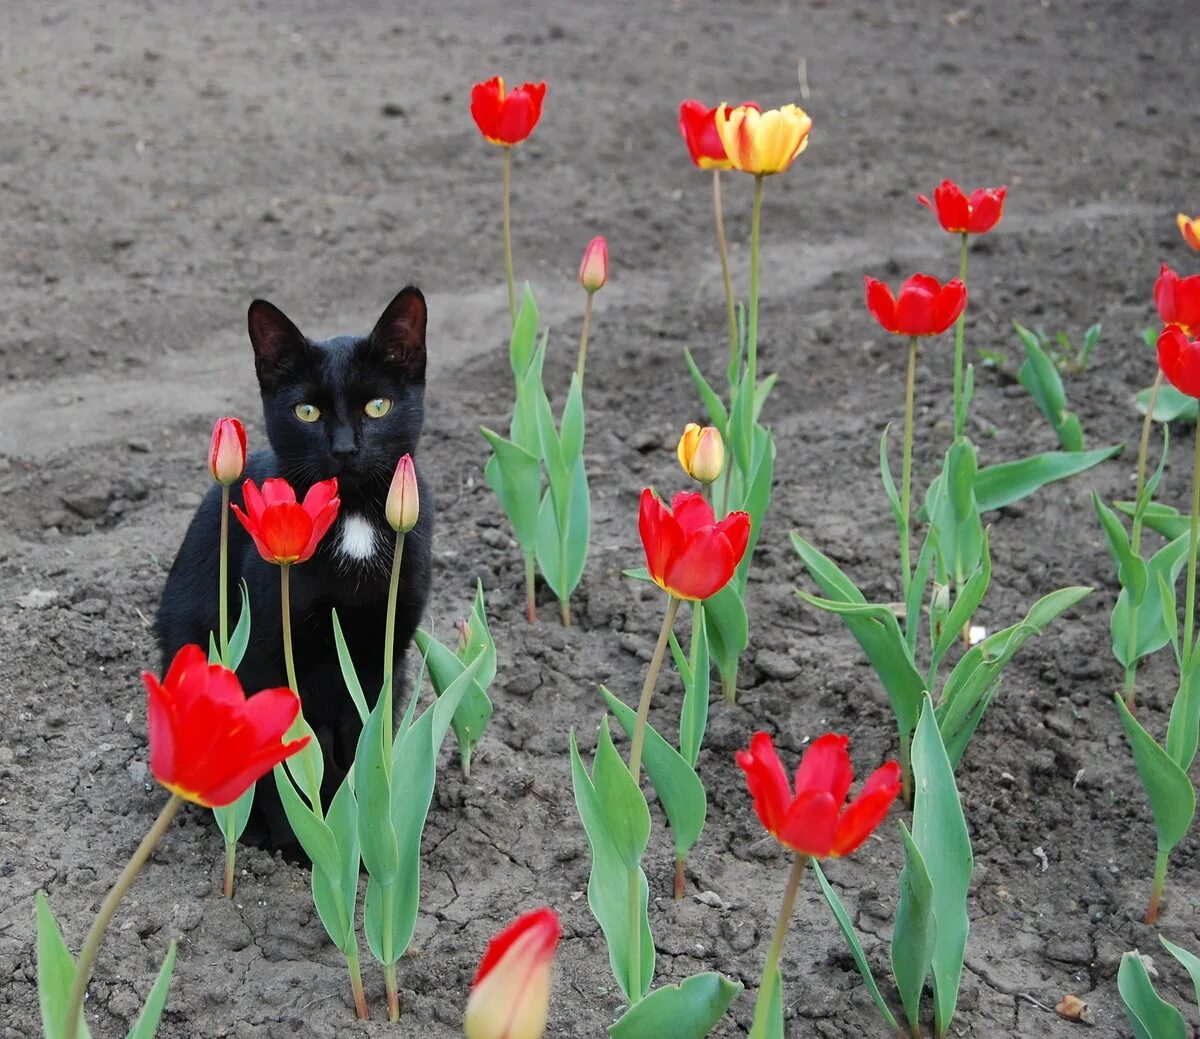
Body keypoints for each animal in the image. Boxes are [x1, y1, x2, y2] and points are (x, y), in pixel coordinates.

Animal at [157, 287, 434, 844]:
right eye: (306, 411)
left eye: (378, 406)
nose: (345, 448)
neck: (352, 518)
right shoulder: (266, 658)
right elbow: (281, 765)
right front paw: (296, 846)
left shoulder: (379, 658)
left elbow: (363, 750)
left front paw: (362, 841)